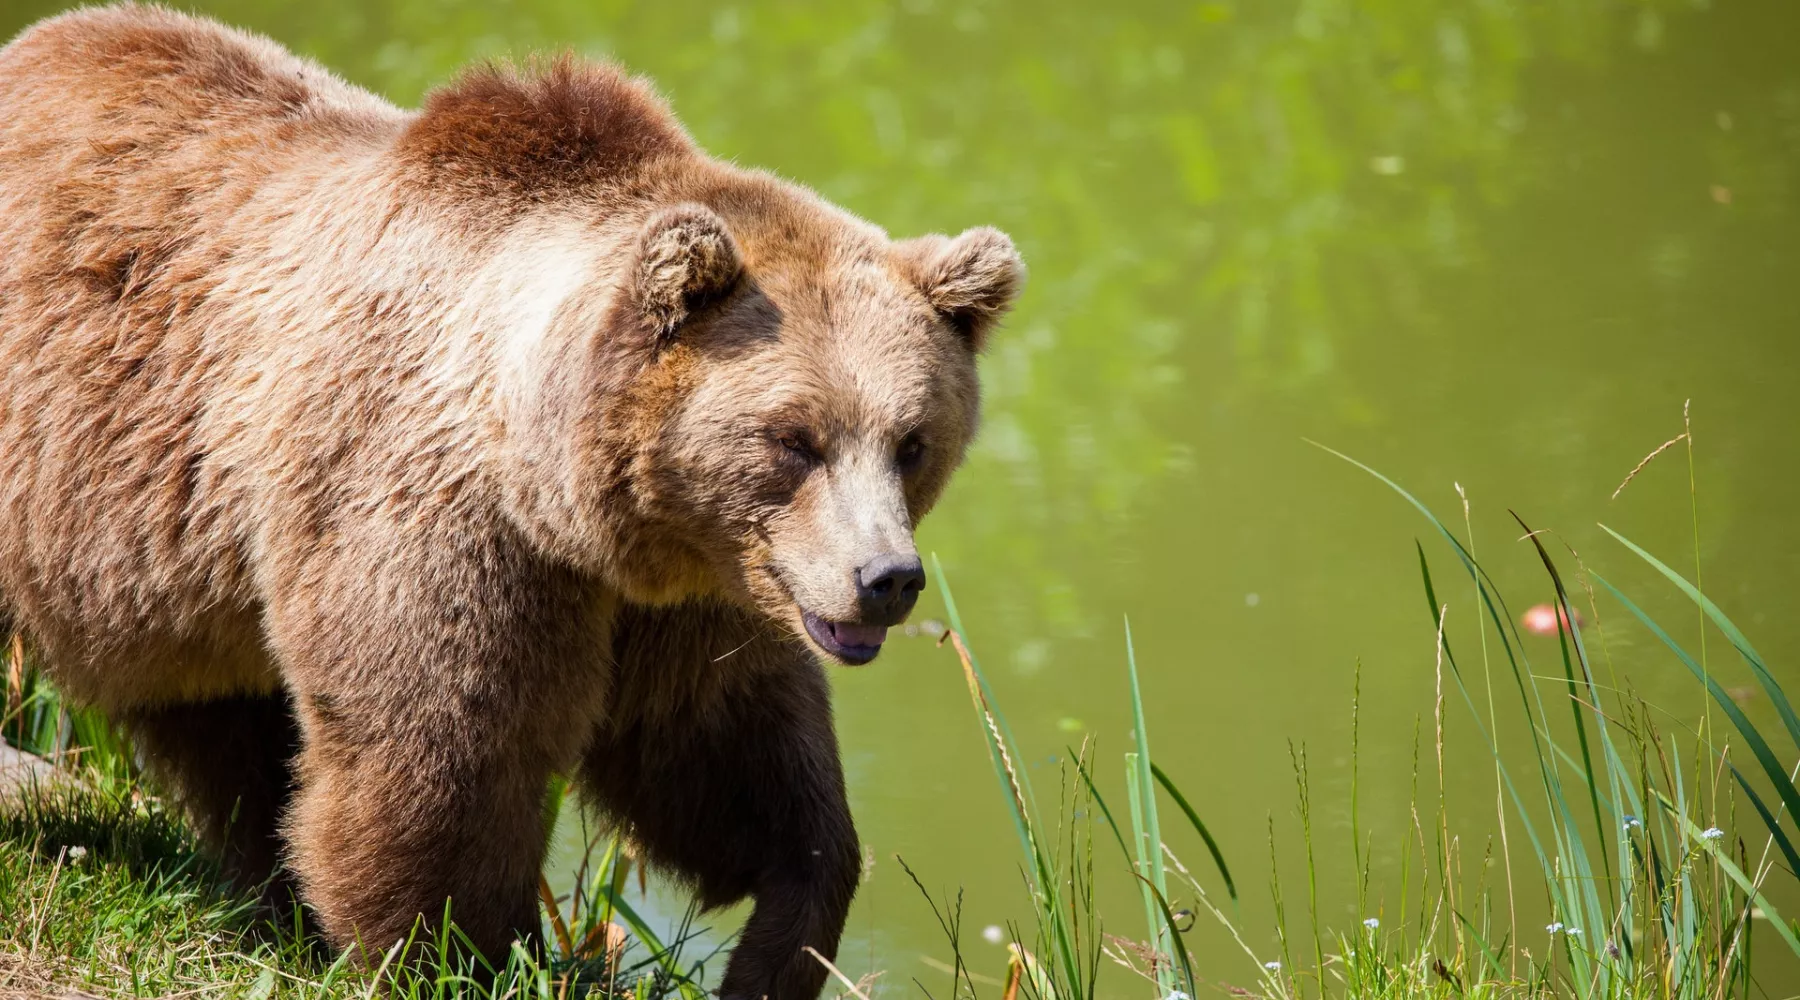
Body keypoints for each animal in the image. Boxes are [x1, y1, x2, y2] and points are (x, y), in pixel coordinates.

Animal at [0, 3, 1022, 992]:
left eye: (912, 442)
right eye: (793, 439)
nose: (886, 578)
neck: (563, 492)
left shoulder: (691, 589)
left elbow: (723, 753)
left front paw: (781, 939)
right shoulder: (435, 516)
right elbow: (443, 758)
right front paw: (468, 953)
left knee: (223, 719)